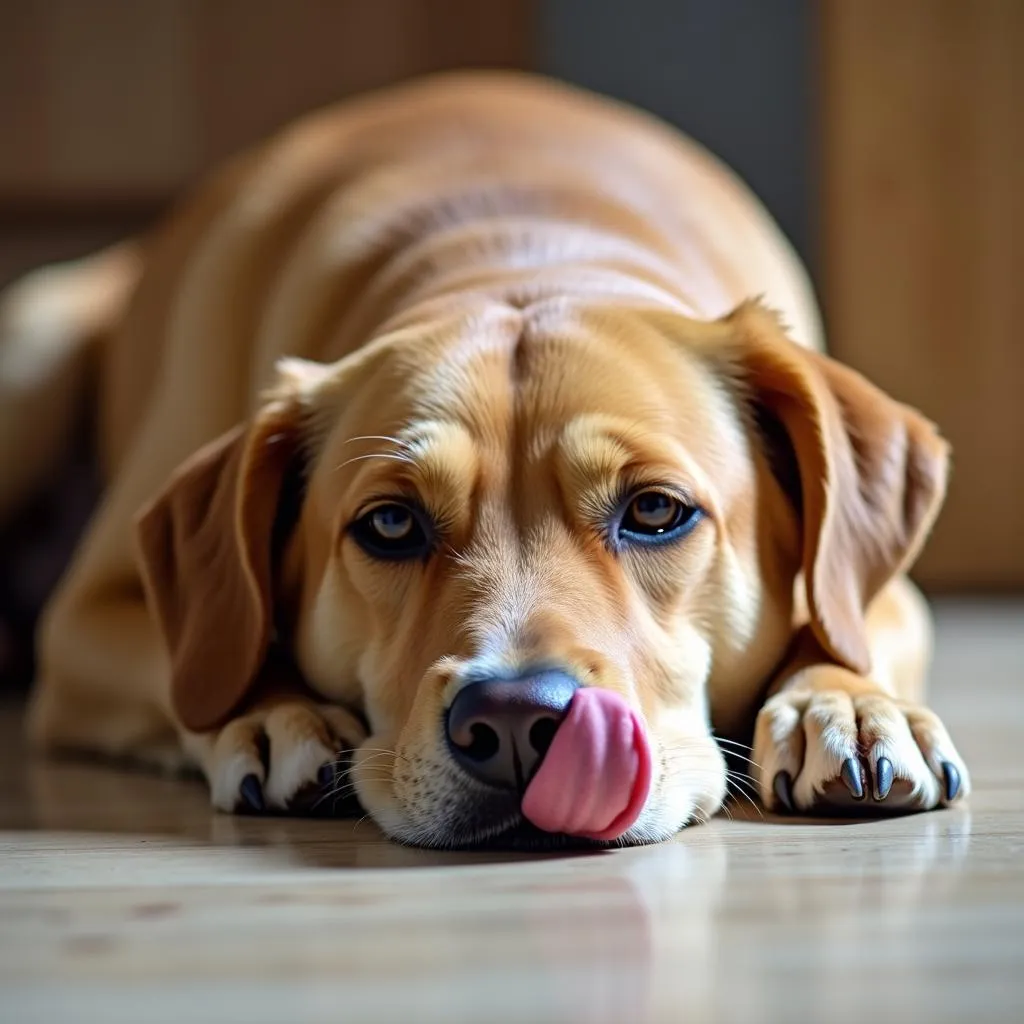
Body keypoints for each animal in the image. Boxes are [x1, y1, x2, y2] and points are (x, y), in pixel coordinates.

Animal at [0, 72, 966, 847]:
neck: (524, 242)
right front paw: (275, 711)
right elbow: (202, 668)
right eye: (391, 524)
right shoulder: (89, 618)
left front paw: (846, 703)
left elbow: (848, 619)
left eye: (656, 511)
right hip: (31, 357)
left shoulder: (882, 589)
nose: (510, 723)